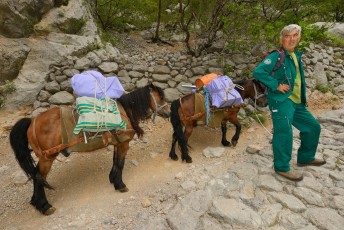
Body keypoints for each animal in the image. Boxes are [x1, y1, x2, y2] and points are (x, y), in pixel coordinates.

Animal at [8, 83, 169, 216]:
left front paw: (113, 179)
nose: (168, 113)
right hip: (47, 158)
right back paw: (44, 206)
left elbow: (115, 161)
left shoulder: (118, 143)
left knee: (36, 176)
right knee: (38, 177)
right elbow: (120, 163)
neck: (123, 112)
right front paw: (120, 185)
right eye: (161, 97)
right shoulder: (124, 144)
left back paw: (36, 202)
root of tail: (32, 121)